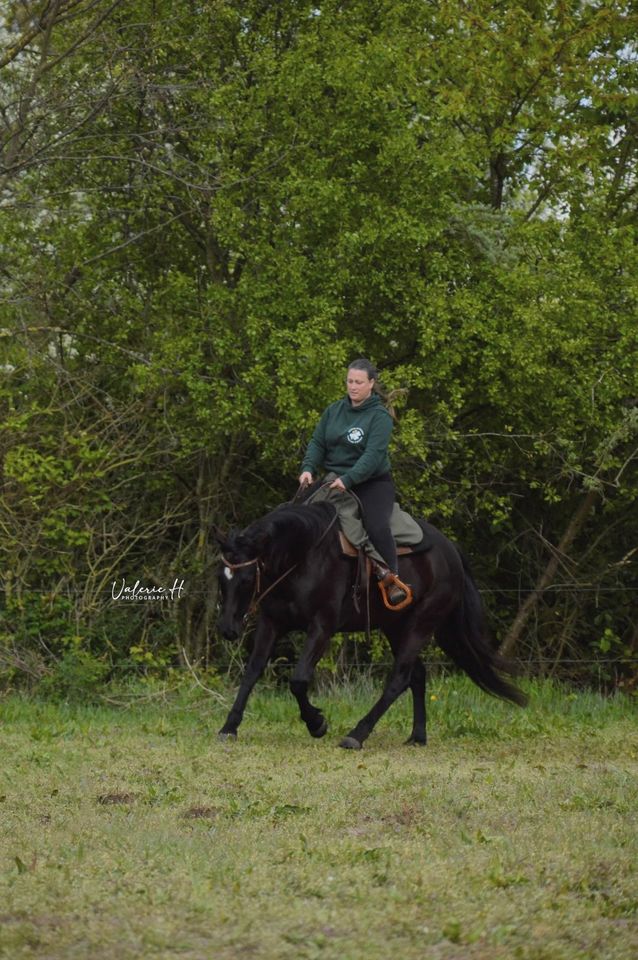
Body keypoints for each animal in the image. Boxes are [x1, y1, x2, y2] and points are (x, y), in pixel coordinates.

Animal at [218, 502, 528, 752]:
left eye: (246, 579)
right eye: (221, 578)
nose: (228, 630)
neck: (303, 556)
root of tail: (451, 550)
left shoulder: (321, 627)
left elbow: (299, 680)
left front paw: (316, 723)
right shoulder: (271, 623)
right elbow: (252, 672)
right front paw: (229, 727)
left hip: (421, 625)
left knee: (399, 678)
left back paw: (357, 734)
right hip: (396, 627)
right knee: (417, 675)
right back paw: (417, 736)